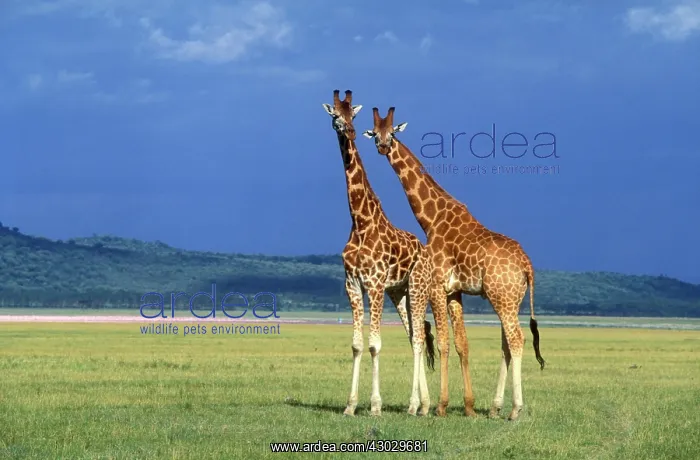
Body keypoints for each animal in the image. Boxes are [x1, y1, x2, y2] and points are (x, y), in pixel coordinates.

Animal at [321, 90, 436, 417]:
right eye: (335, 115)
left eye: (353, 115)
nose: (348, 131)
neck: (360, 222)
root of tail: (426, 252)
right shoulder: (352, 284)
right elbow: (357, 344)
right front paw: (350, 405)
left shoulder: (374, 284)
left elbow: (375, 344)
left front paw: (374, 405)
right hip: (399, 292)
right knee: (413, 336)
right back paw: (423, 404)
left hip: (418, 287)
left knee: (419, 339)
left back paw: (414, 405)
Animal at [363, 107, 545, 421]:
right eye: (374, 132)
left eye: (393, 132)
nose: (383, 146)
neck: (431, 219)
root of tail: (527, 266)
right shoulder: (455, 291)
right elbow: (462, 343)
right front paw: (469, 406)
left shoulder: (437, 286)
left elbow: (444, 343)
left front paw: (441, 406)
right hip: (513, 299)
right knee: (506, 344)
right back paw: (495, 407)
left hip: (502, 297)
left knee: (516, 340)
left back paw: (514, 409)